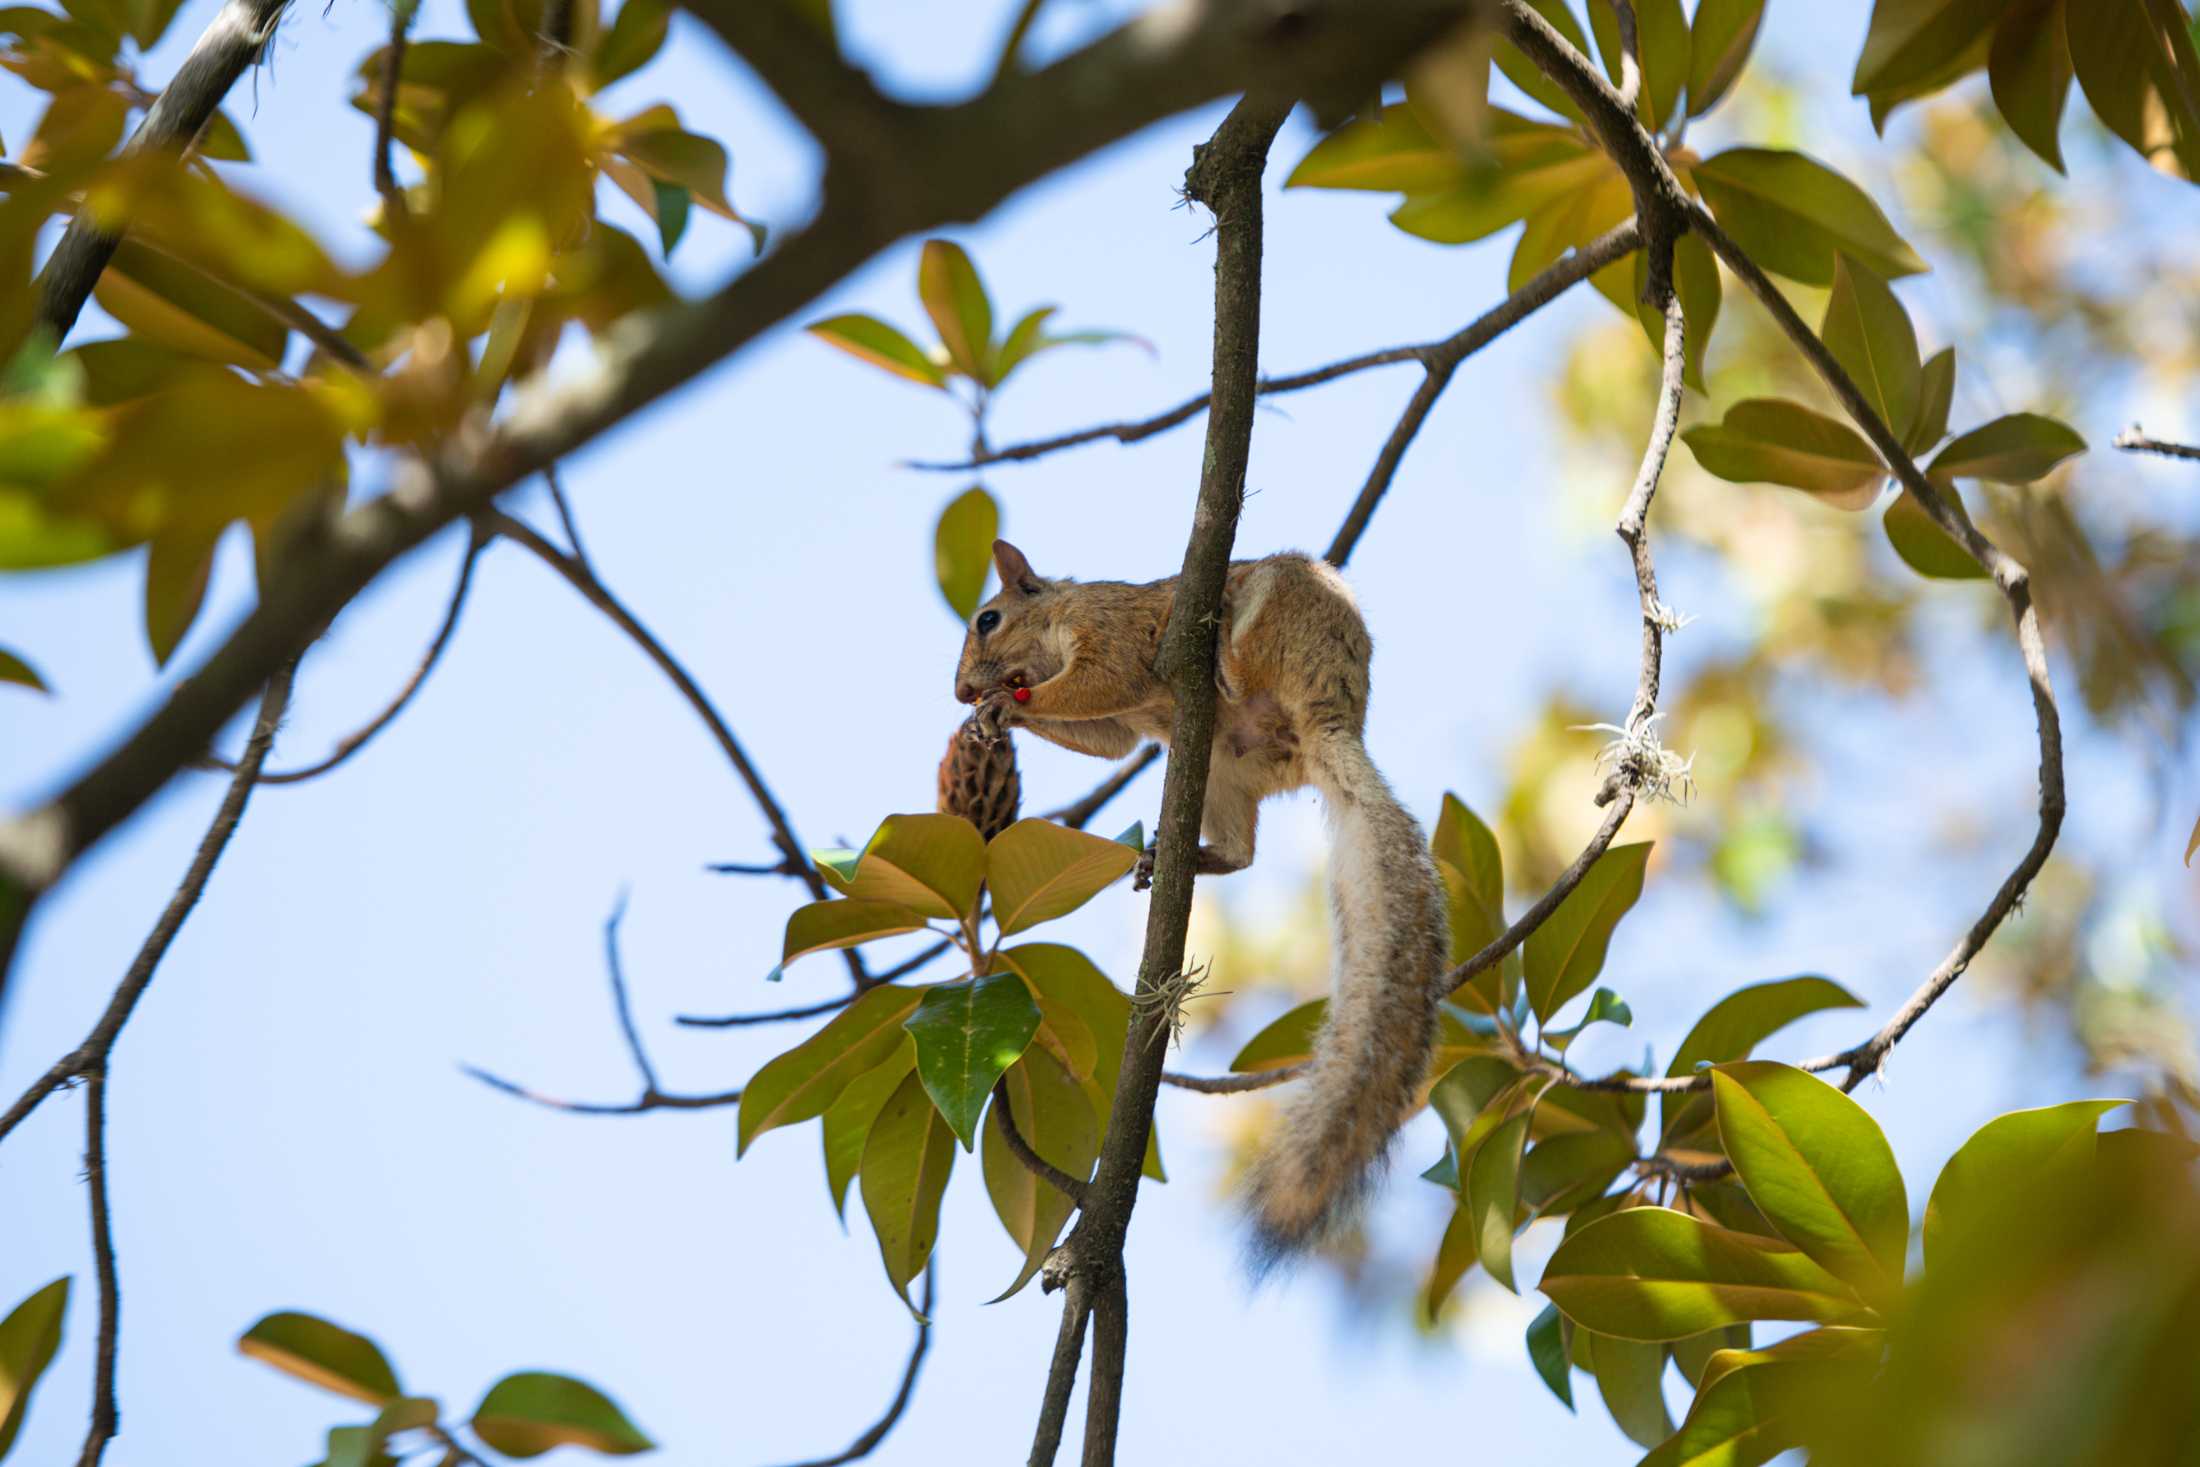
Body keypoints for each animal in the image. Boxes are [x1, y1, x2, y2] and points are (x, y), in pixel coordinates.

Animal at [959, 538, 1452, 1266]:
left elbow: (1105, 681)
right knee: (1242, 852)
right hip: (1221, 770)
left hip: (1276, 617)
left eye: (987, 619)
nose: (962, 690)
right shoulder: (1117, 727)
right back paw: (1174, 858)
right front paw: (1000, 710)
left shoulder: (1109, 630)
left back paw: (1221, 659)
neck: (1053, 628)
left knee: (1245, 663)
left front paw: (1007, 705)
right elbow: (1108, 734)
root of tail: (1331, 722)